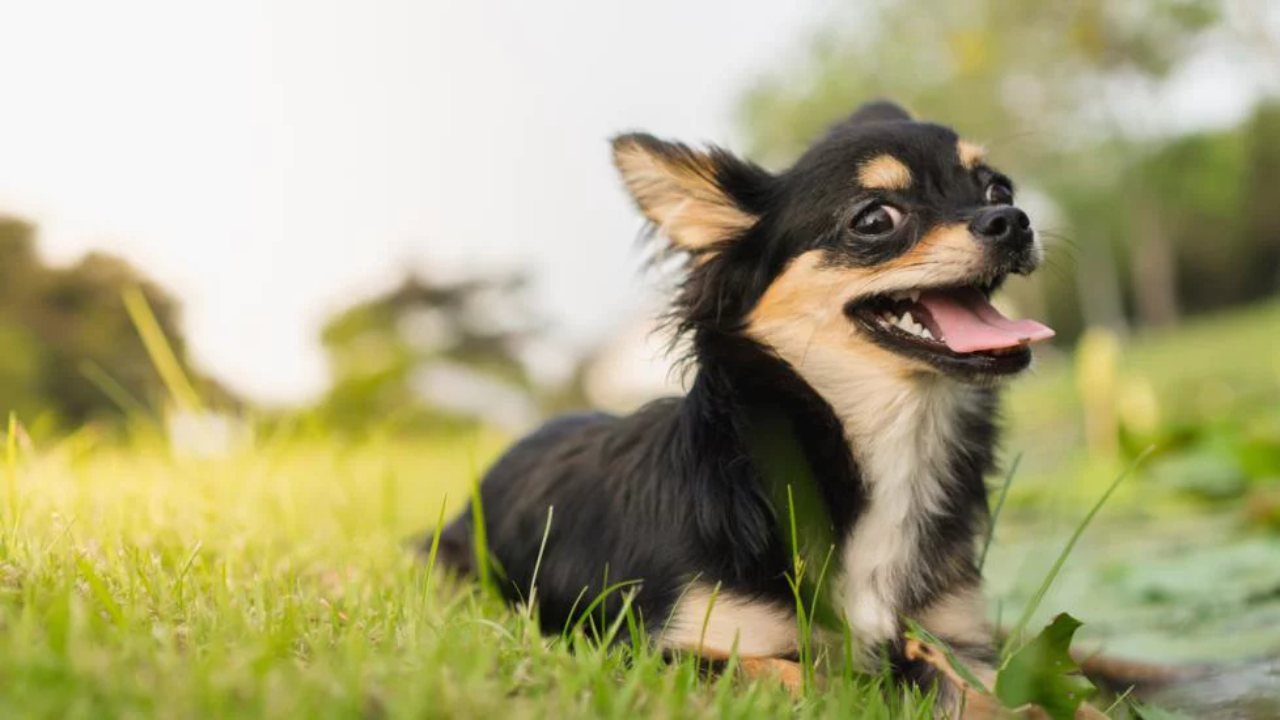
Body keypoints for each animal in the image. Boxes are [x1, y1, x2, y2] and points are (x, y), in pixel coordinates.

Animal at [435, 101, 1054, 712]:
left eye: (997, 189)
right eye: (876, 219)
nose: (1013, 219)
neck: (888, 440)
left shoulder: (959, 647)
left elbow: (1001, 697)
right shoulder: (659, 650)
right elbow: (807, 679)